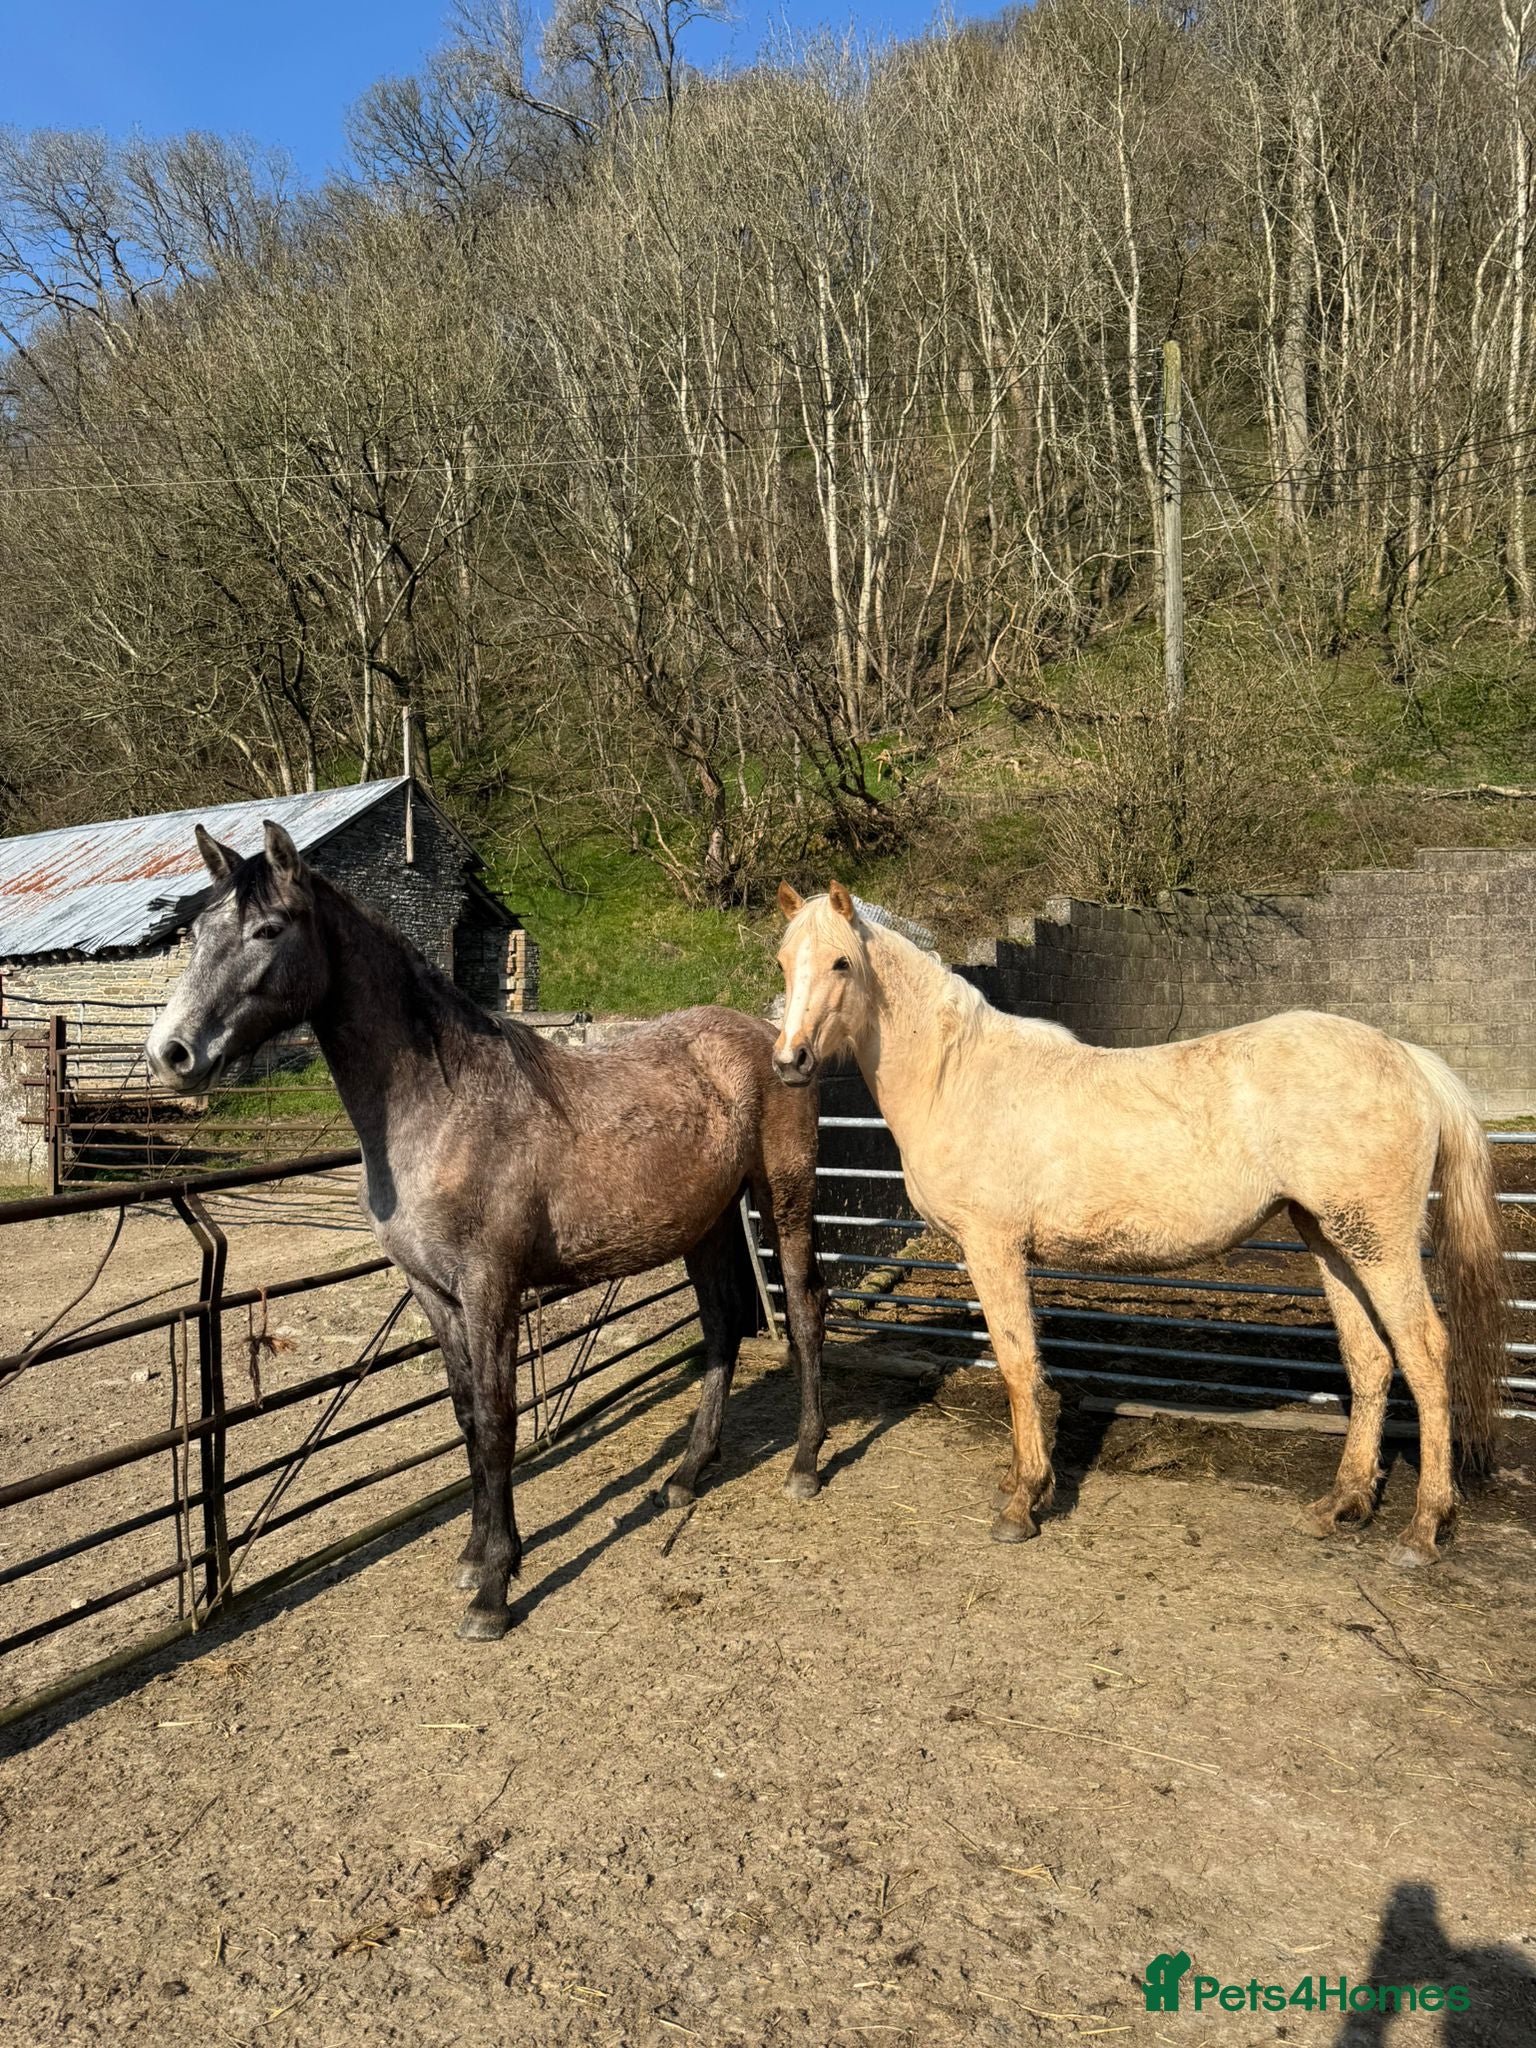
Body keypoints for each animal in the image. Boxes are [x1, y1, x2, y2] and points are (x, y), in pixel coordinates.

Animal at [145, 821, 827, 1640]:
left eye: (268, 929)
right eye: (195, 932)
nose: (170, 1053)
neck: (444, 1107)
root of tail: (771, 1037)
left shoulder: (491, 1288)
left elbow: (501, 1422)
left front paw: (495, 1590)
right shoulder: (435, 1293)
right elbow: (468, 1417)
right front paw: (474, 1556)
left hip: (783, 1198)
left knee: (805, 1309)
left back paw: (805, 1464)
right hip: (709, 1223)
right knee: (724, 1325)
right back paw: (688, 1474)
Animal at [772, 881, 1506, 1565]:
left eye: (841, 962)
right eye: (783, 961)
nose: (788, 1062)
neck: (958, 1077)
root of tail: (1406, 1055)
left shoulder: (993, 1248)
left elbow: (1015, 1361)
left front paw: (1022, 1502)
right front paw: (1021, 1481)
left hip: (1377, 1242)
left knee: (1424, 1354)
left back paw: (1424, 1528)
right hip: (1329, 1238)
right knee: (1370, 1358)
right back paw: (1343, 1504)